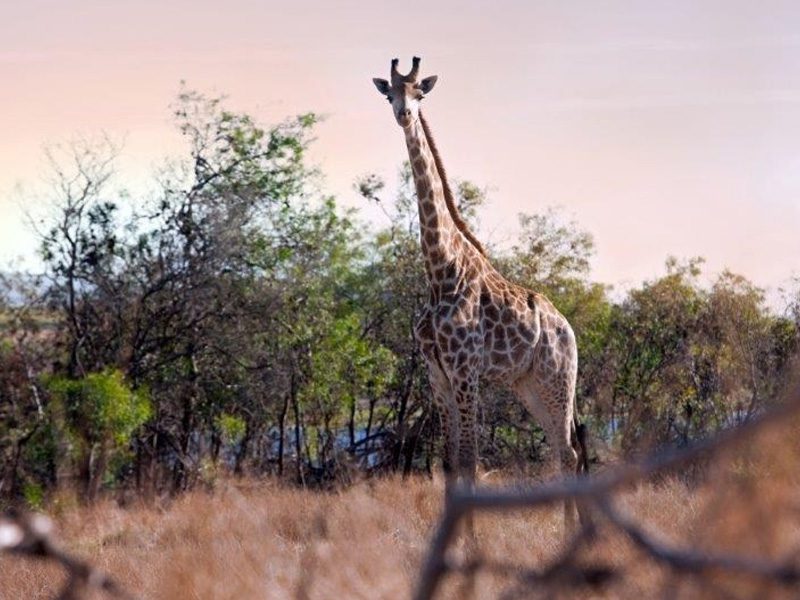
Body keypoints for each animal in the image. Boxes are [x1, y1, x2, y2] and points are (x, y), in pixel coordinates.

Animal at [372, 57, 589, 529]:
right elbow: (449, 461)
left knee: (568, 452)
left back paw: (571, 534)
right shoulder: (436, 373)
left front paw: (469, 541)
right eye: (390, 93)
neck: (440, 272)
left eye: (420, 92)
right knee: (565, 451)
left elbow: (471, 460)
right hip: (529, 385)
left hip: (558, 378)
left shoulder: (465, 369)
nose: (404, 114)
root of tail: (568, 328)